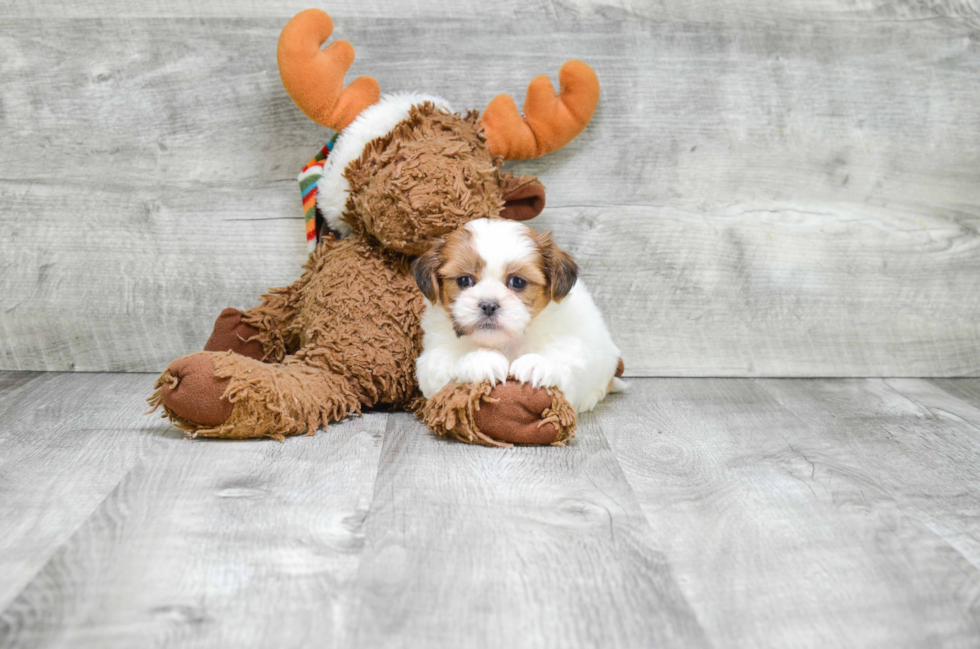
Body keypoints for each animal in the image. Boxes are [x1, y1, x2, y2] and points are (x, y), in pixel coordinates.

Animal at [414, 218, 628, 410]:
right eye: (464, 280)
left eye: (517, 282)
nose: (489, 305)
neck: (504, 343)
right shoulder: (432, 356)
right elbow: (441, 366)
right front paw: (481, 360)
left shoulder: (571, 346)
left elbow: (566, 361)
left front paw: (538, 365)